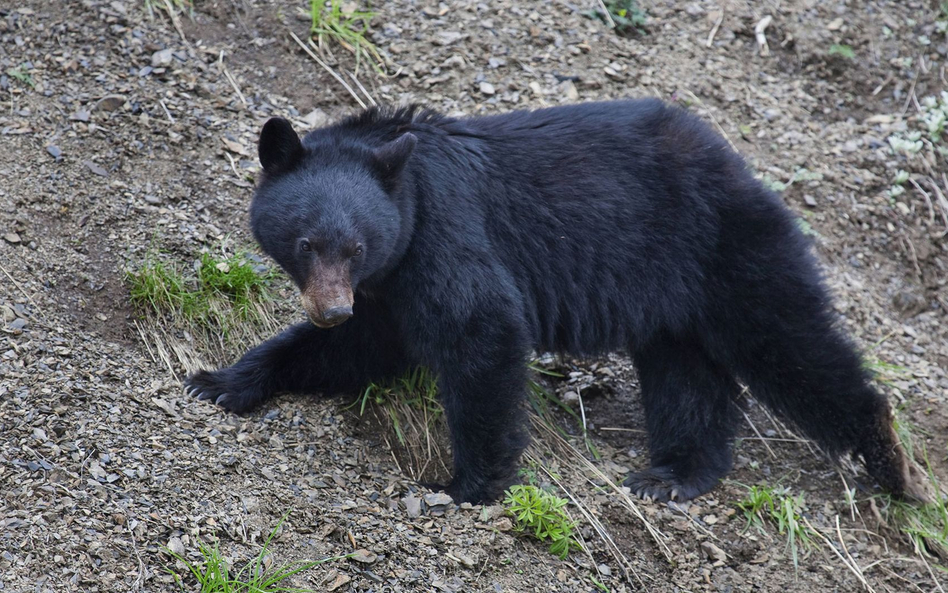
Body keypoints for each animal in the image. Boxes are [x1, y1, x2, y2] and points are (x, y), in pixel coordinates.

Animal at [181, 99, 924, 502]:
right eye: (307, 242)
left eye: (355, 245)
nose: (331, 306)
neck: (409, 195)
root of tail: (740, 163)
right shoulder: (390, 289)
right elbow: (352, 349)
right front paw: (221, 379)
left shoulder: (445, 239)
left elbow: (482, 332)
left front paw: (466, 484)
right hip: (671, 296)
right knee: (688, 378)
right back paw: (675, 473)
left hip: (730, 250)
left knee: (792, 345)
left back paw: (892, 459)